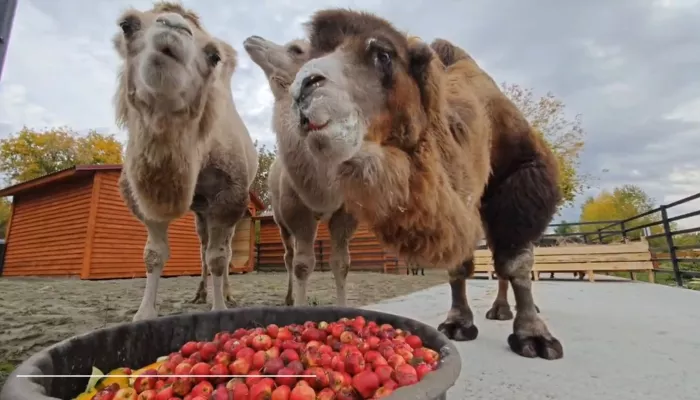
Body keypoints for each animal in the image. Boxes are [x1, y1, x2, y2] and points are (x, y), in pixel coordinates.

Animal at [112, 1, 257, 321]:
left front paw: (220, 307)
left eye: (213, 55)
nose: (172, 28)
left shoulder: (230, 197)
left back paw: (226, 293)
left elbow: (219, 258)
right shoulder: (143, 199)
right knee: (202, 245)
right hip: (200, 209)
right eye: (128, 25)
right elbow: (154, 255)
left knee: (224, 251)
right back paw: (200, 293)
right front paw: (144, 314)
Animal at [242, 36, 357, 307]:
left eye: (296, 49)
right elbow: (303, 265)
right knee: (288, 256)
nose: (253, 40)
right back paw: (288, 298)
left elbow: (341, 264)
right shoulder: (296, 209)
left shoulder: (345, 211)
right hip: (280, 219)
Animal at [286, 9, 564, 360]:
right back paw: (499, 309)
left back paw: (507, 311)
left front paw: (535, 337)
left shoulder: (524, 171)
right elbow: (458, 263)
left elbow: (516, 262)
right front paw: (458, 324)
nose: (302, 87)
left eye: (383, 54)